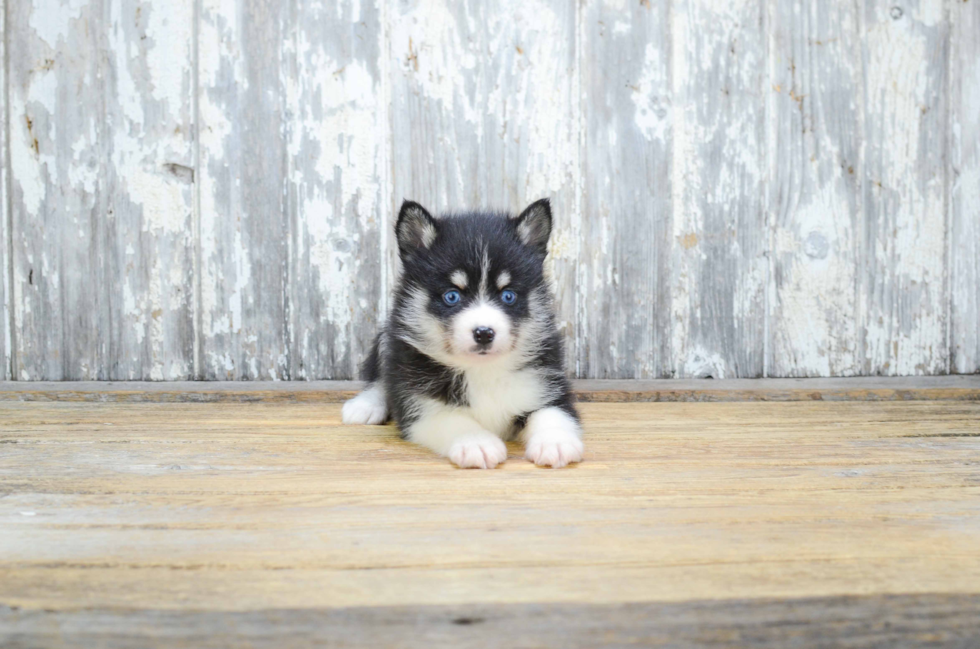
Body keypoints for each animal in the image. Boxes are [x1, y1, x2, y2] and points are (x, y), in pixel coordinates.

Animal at [342, 197, 580, 466]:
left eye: (508, 296)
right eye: (452, 296)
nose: (484, 333)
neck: (482, 370)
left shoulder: (548, 387)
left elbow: (552, 413)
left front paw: (556, 442)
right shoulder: (420, 406)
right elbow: (453, 420)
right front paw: (476, 443)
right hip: (387, 338)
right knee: (380, 378)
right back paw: (365, 405)